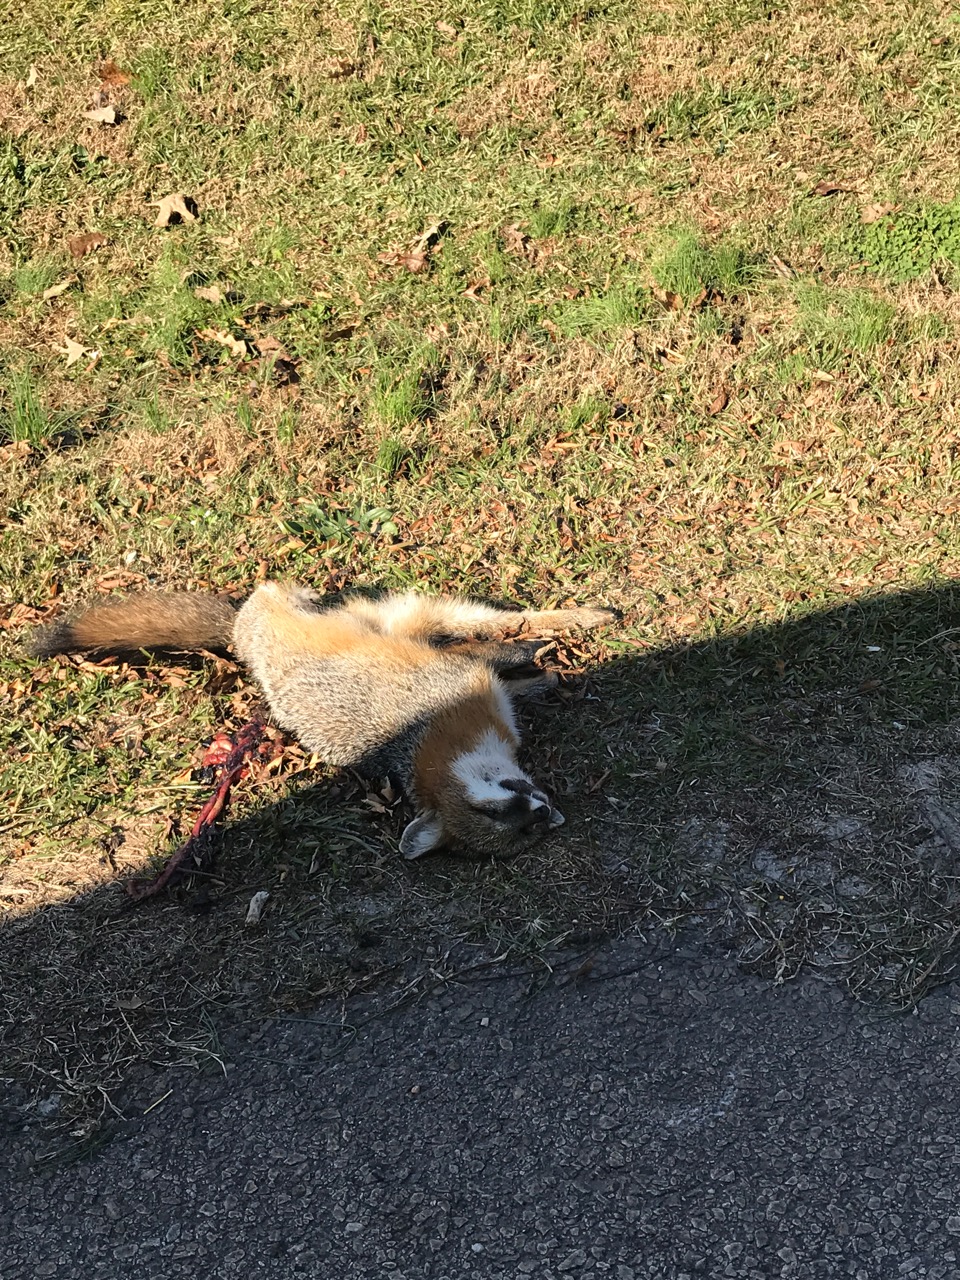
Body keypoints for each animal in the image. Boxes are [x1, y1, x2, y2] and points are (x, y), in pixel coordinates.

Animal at [27, 583, 615, 861]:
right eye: (513, 828)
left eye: (492, 812)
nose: (543, 811)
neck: (426, 743)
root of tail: (238, 632)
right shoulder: (470, 684)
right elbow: (511, 670)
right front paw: (546, 674)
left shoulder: (458, 675)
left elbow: (498, 654)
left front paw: (540, 659)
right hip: (409, 620)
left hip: (407, 619)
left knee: (503, 620)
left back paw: (581, 618)